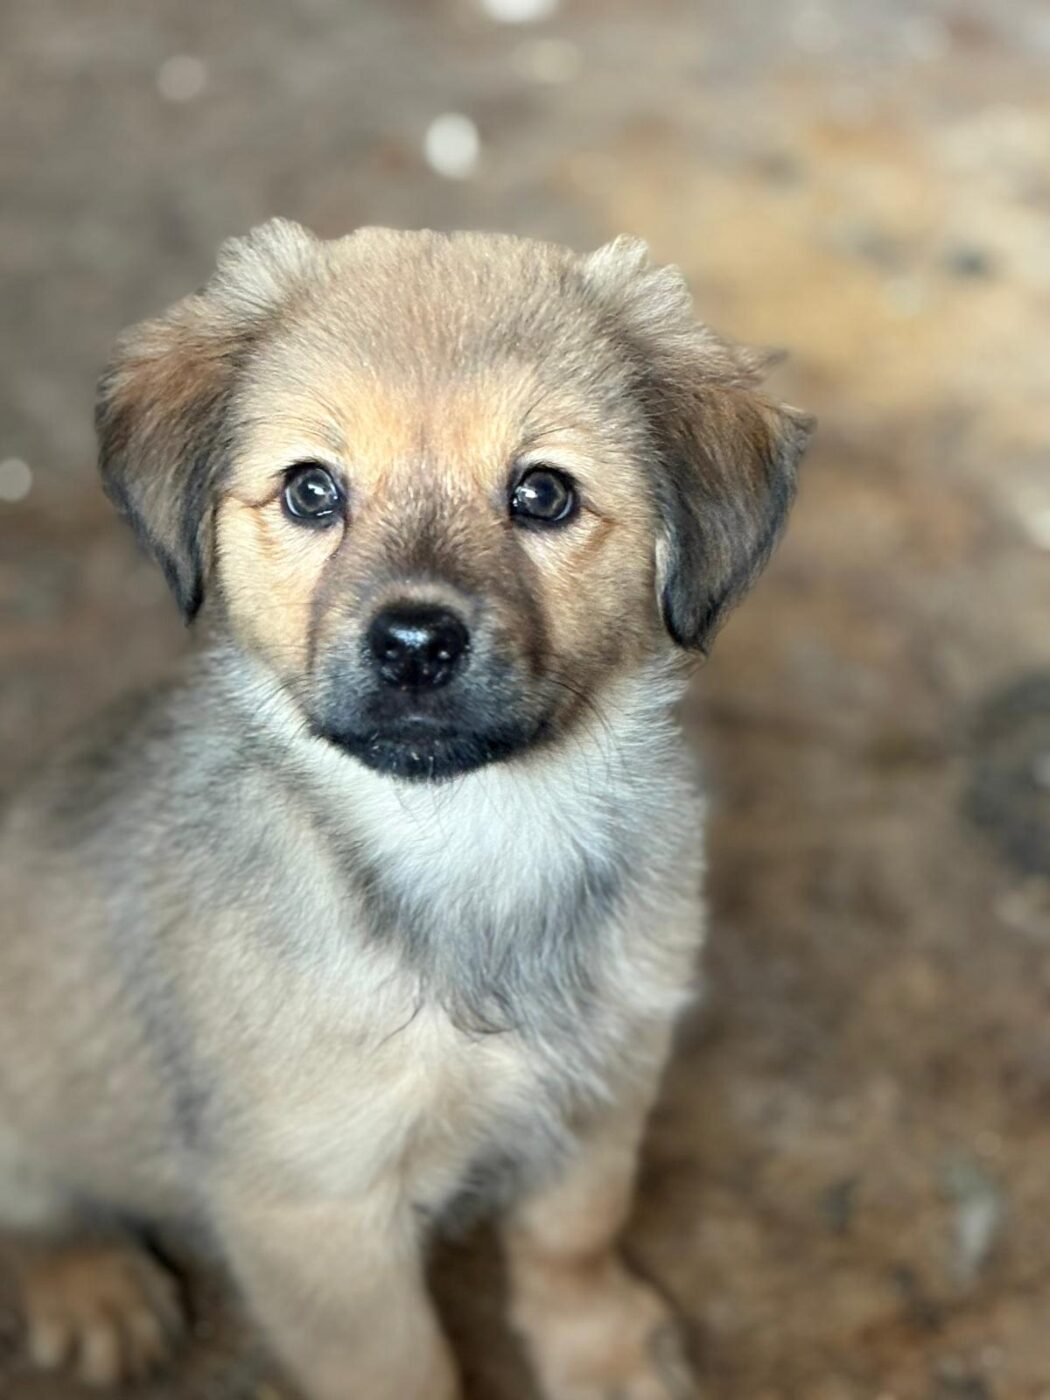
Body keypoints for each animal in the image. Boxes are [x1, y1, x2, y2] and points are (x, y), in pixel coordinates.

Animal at [0, 222, 811, 1400]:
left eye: (542, 495)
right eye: (310, 491)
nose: (416, 643)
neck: (474, 836)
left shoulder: (602, 1087)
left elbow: (575, 1236)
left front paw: (601, 1350)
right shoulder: (312, 1204)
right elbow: (402, 1364)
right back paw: (88, 1282)